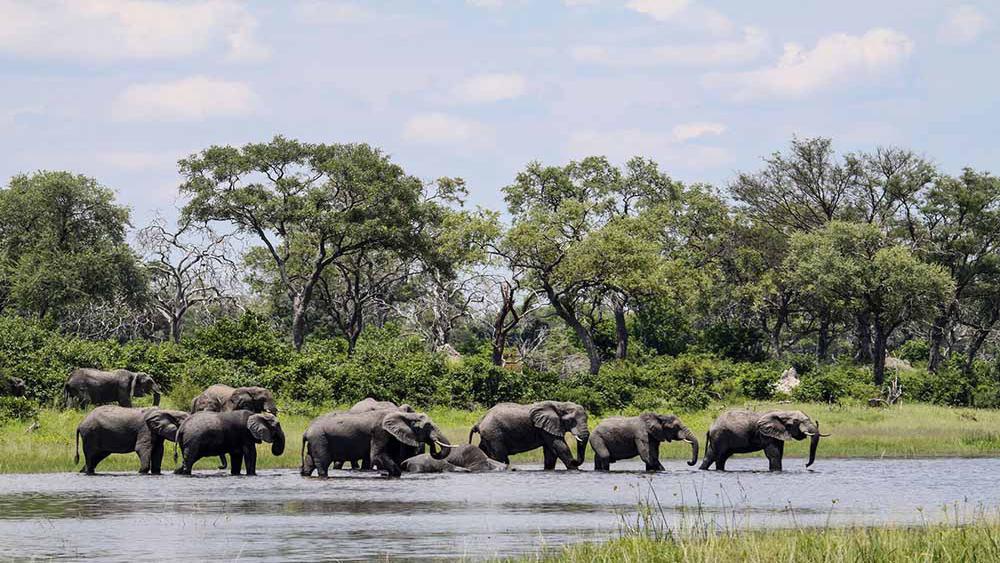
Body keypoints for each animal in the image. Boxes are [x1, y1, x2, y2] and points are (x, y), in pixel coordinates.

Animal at [298, 408, 452, 478]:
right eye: (428, 426)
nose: (433, 444)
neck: (404, 415)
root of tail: (305, 431)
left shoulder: (392, 436)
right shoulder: (380, 432)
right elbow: (377, 456)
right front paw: (393, 474)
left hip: (315, 442)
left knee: (309, 462)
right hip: (319, 440)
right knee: (323, 463)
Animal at [696, 410, 828, 472]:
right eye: (796, 422)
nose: (806, 465)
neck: (782, 412)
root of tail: (710, 427)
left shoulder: (777, 434)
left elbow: (779, 453)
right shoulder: (766, 434)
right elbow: (774, 454)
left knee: (715, 457)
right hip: (720, 436)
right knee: (718, 456)